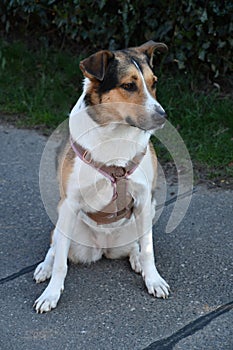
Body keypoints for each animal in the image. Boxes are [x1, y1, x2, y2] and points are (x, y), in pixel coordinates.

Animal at [33, 40, 170, 312]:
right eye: (128, 86)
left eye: (154, 82)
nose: (163, 117)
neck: (115, 134)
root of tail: (104, 248)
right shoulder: (69, 203)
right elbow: (61, 262)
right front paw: (51, 293)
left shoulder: (143, 199)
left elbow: (148, 249)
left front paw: (153, 279)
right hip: (66, 225)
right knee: (56, 247)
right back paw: (45, 267)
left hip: (146, 212)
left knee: (136, 245)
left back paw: (136, 259)